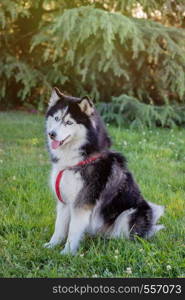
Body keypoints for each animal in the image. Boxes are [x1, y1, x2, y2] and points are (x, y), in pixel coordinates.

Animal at [44, 88, 164, 254]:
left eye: (69, 122)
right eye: (56, 118)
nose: (52, 134)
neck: (76, 160)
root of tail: (149, 227)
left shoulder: (83, 202)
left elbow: (73, 230)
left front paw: (67, 252)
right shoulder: (64, 201)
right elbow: (59, 227)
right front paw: (52, 245)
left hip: (129, 214)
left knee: (124, 238)